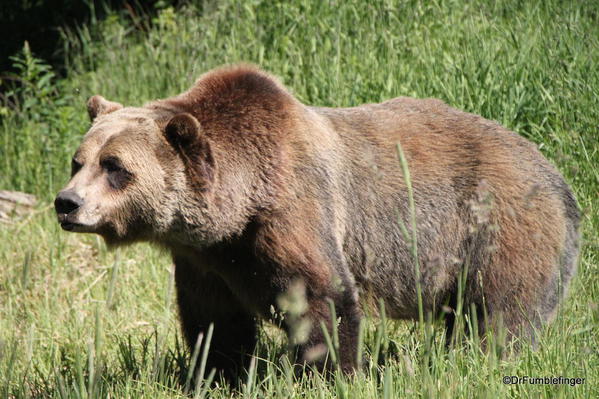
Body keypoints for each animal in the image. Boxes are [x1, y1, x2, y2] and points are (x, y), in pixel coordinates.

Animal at [55, 65, 580, 382]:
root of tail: (554, 172)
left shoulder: (292, 210)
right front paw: (218, 373)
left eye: (115, 166)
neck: (236, 210)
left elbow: (322, 295)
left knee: (499, 312)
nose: (67, 203)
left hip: (496, 225)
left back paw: (481, 360)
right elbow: (215, 321)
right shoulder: (207, 258)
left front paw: (331, 372)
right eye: (78, 161)